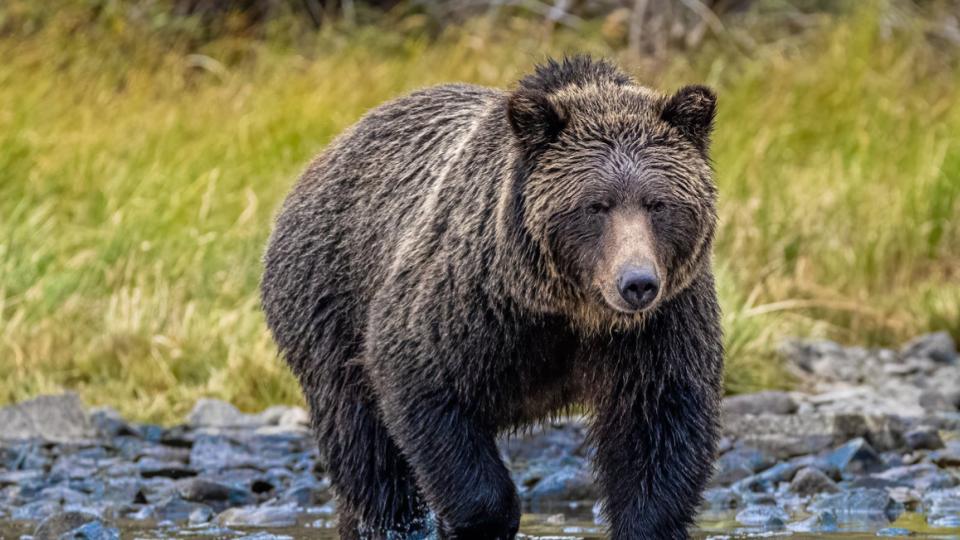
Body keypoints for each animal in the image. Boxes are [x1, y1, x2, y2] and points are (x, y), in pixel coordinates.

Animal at [261, 56, 723, 540]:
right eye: (595, 206)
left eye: (658, 203)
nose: (636, 283)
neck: (569, 309)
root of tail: (324, 156)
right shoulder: (469, 302)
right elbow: (424, 385)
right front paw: (482, 518)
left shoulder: (660, 326)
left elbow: (659, 429)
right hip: (329, 302)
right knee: (366, 451)